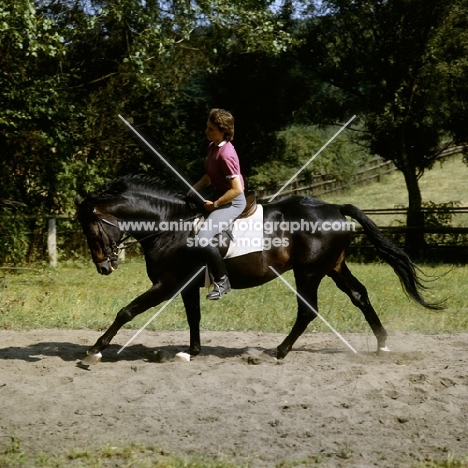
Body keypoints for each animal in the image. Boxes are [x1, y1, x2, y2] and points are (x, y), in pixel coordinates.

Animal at [74, 174, 438, 364]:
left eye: (91, 231)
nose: (104, 267)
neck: (169, 225)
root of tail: (334, 206)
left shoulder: (167, 284)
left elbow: (126, 311)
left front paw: (94, 351)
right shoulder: (187, 285)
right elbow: (194, 317)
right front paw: (192, 352)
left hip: (308, 272)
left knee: (308, 310)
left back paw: (280, 350)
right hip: (334, 267)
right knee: (359, 296)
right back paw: (382, 345)